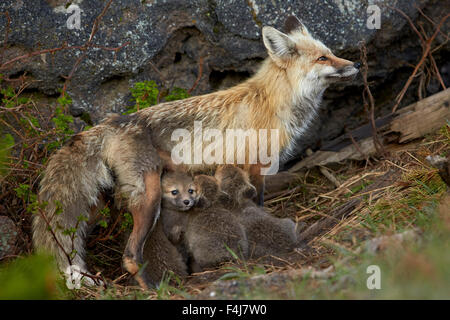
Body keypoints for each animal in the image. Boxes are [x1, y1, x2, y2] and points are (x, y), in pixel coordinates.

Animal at [33, 15, 360, 288]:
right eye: (322, 57)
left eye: (330, 52)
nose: (355, 66)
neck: (271, 101)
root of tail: (112, 122)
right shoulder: (255, 165)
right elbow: (258, 206)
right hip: (149, 196)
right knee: (130, 256)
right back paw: (153, 288)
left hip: (106, 202)